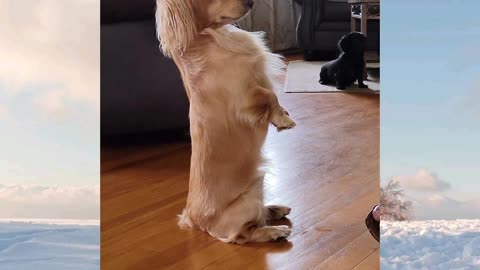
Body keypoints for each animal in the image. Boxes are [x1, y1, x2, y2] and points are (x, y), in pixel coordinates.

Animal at [156, 0, 294, 244]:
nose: (251, 2)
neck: (212, 37)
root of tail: (194, 221)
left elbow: (273, 97)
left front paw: (282, 113)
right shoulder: (245, 97)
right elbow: (270, 96)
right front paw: (283, 119)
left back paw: (275, 209)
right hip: (250, 199)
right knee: (245, 233)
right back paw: (275, 230)